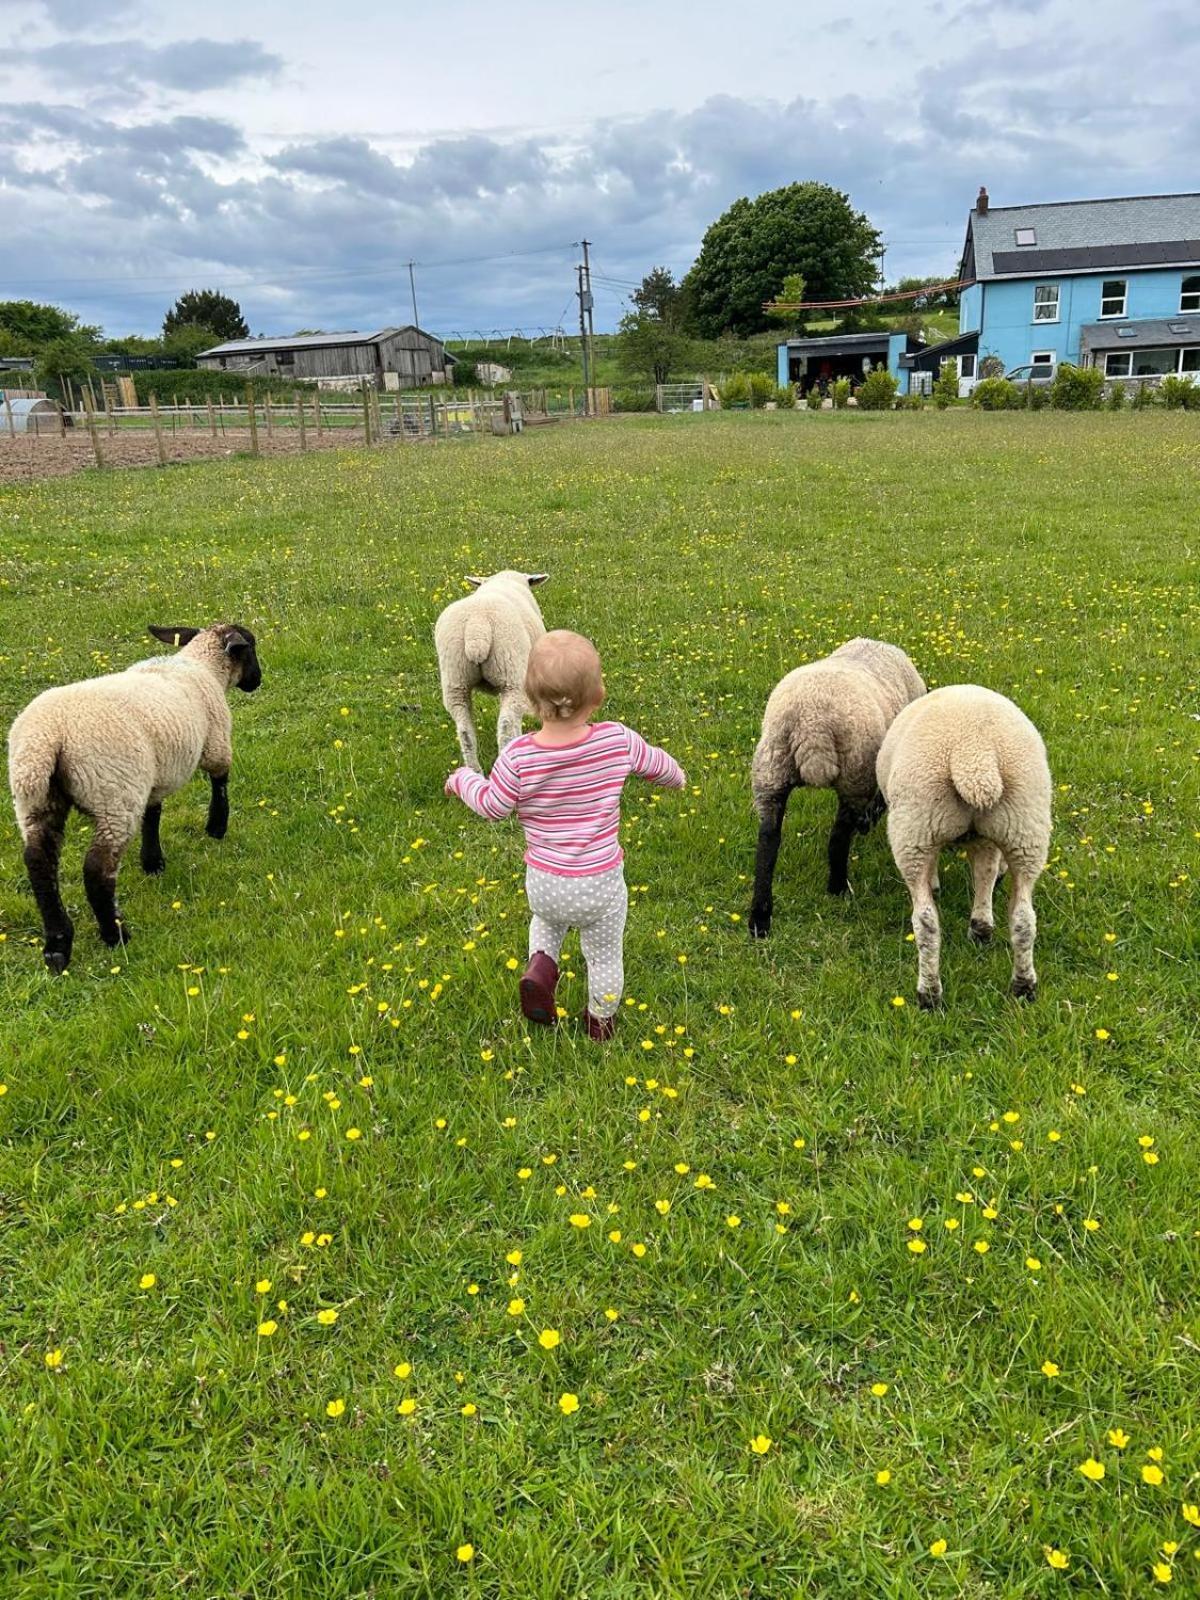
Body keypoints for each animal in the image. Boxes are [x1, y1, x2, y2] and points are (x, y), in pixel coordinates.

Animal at [8, 620, 262, 972]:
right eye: (251, 647)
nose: (257, 681)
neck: (202, 666)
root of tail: (47, 739)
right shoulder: (216, 744)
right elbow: (220, 782)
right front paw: (216, 827)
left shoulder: (155, 776)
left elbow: (153, 815)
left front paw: (152, 861)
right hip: (114, 793)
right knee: (97, 868)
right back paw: (115, 935)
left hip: (35, 800)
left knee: (38, 862)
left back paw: (57, 946)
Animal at [438, 572, 550, 771]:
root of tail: (477, 627)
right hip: (511, 675)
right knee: (506, 726)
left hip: (455, 680)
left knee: (465, 733)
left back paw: (475, 770)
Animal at [752, 636, 928, 934]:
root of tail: (812, 724)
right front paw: (868, 821)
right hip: (855, 773)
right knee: (839, 836)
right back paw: (838, 887)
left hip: (770, 769)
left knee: (768, 840)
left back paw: (759, 919)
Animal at [876, 681, 1049, 1004]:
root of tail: (974, 754)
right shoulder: (984, 840)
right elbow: (985, 875)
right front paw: (981, 926)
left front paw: (936, 886)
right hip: (1025, 828)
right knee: (1024, 919)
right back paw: (1023, 986)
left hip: (915, 828)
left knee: (926, 923)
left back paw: (929, 994)